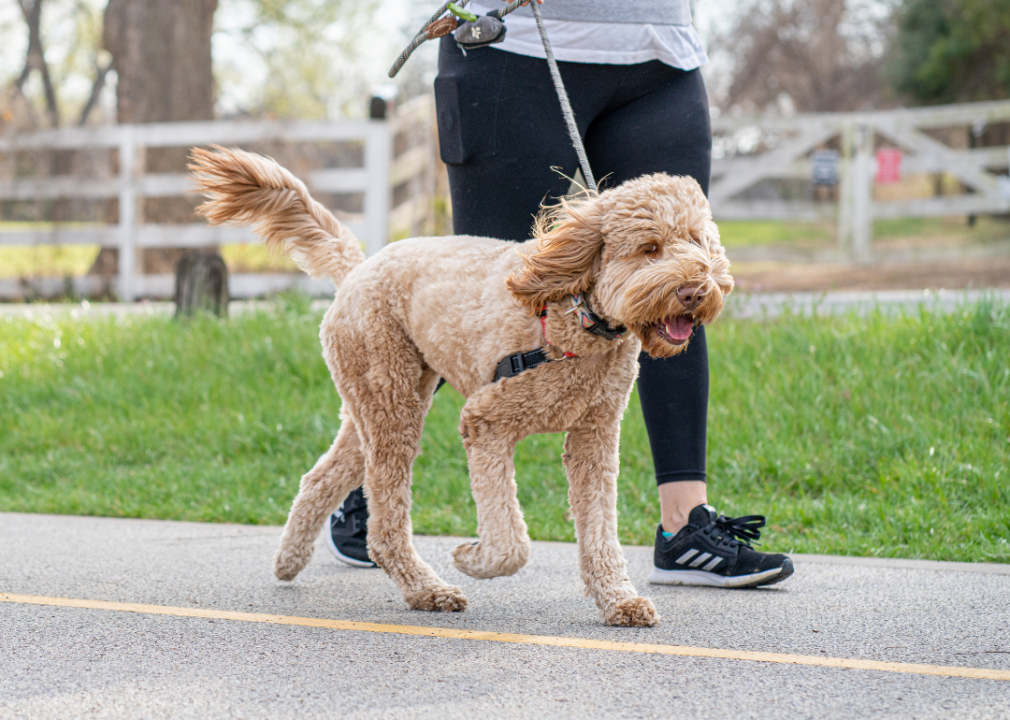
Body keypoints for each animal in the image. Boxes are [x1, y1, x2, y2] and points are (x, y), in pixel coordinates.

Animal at [189, 144, 731, 622]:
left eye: (697, 241)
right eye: (650, 248)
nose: (695, 290)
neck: (575, 316)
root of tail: (359, 267)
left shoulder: (593, 438)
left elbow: (599, 530)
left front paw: (618, 600)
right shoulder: (486, 422)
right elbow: (510, 542)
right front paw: (473, 558)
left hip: (380, 402)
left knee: (321, 478)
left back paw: (289, 561)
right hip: (391, 403)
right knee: (385, 523)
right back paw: (427, 590)